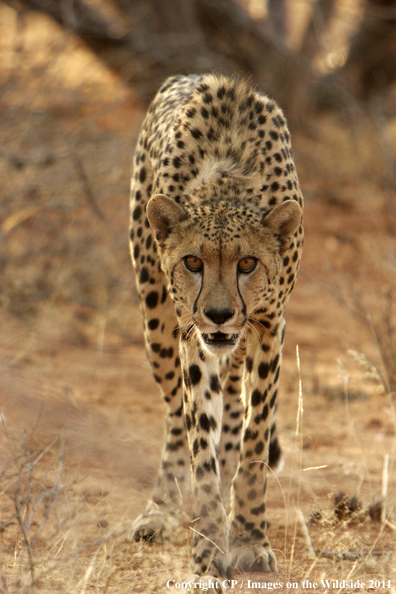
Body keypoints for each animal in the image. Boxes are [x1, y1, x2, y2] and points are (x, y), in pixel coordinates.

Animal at [129, 75, 304, 588]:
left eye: (247, 263)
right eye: (192, 262)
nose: (221, 314)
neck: (227, 186)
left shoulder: (269, 327)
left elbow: (254, 440)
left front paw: (247, 537)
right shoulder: (192, 336)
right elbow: (199, 444)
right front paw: (208, 551)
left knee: (234, 416)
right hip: (156, 317)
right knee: (175, 417)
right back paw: (161, 509)